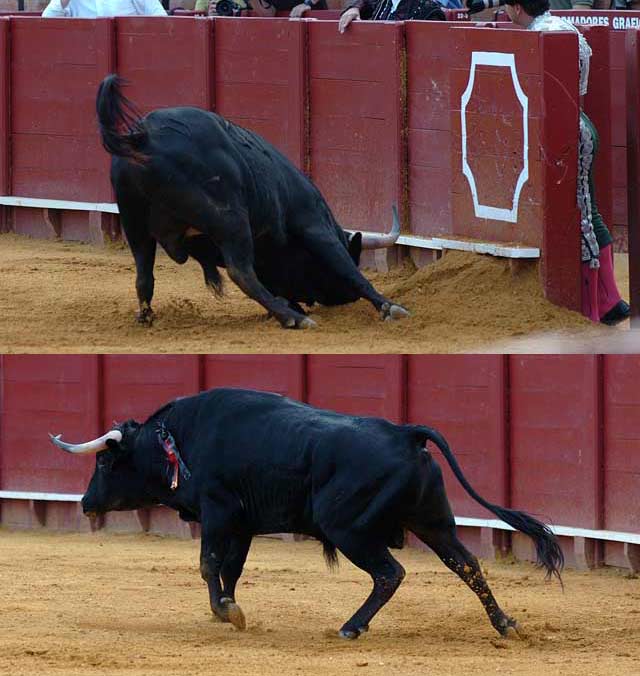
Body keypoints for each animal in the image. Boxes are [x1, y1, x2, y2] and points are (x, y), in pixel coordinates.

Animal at [98, 75, 412, 328]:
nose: (341, 299)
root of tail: (143, 138)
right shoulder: (312, 225)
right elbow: (346, 267)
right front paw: (390, 307)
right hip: (229, 218)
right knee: (241, 272)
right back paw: (294, 319)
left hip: (134, 225)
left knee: (144, 274)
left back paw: (146, 317)